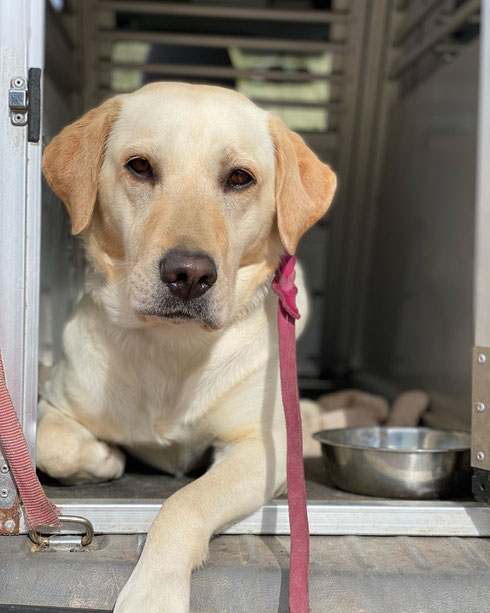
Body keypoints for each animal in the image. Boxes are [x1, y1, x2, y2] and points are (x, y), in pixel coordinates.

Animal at [38, 82, 336, 612]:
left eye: (239, 178)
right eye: (139, 166)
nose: (189, 275)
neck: (172, 348)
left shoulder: (263, 448)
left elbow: (185, 502)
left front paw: (153, 593)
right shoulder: (53, 404)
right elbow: (50, 445)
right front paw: (105, 458)